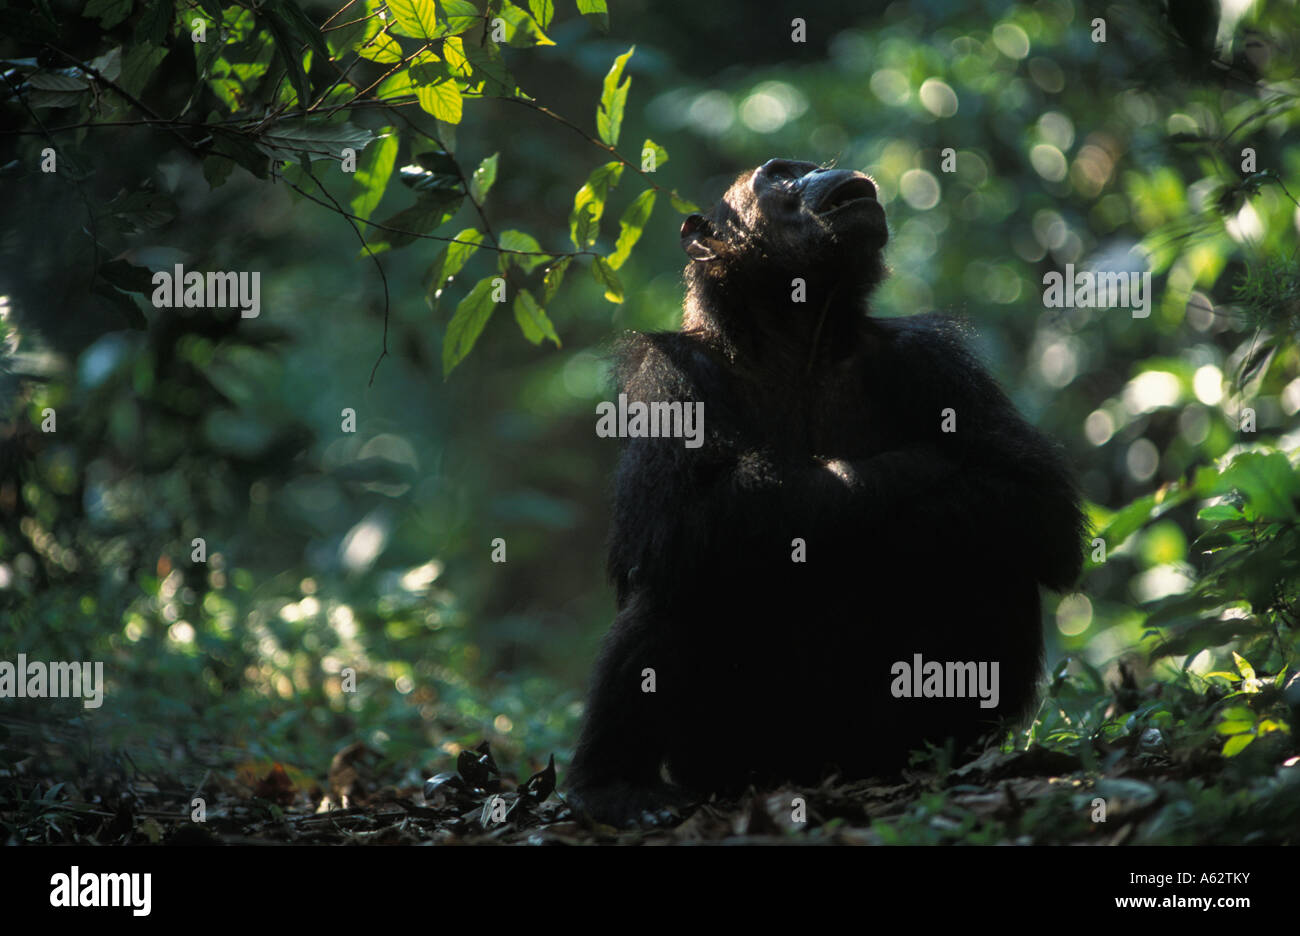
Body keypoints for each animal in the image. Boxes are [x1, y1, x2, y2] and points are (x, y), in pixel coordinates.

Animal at [569, 159, 1086, 826]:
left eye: (802, 166)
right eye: (779, 176)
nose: (818, 170)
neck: (797, 340)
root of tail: (814, 770)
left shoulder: (935, 359)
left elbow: (1035, 499)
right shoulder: (667, 374)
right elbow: (669, 521)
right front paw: (897, 474)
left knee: (992, 550)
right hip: (721, 754)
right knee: (680, 577)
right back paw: (614, 787)